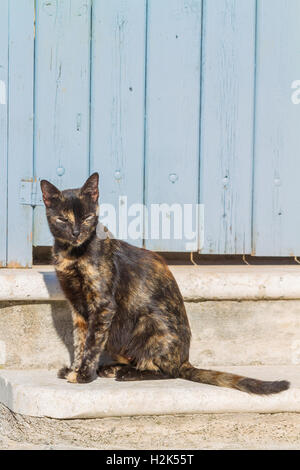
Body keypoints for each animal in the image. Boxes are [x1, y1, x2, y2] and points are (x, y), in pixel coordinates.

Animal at [41, 172, 290, 392]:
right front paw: (74, 369)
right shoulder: (78, 307)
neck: (71, 254)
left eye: (86, 218)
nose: (76, 232)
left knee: (167, 371)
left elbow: (92, 343)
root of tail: (184, 359)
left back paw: (127, 373)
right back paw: (111, 368)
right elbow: (79, 341)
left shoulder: (102, 305)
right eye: (62, 219)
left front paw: (83, 375)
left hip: (147, 322)